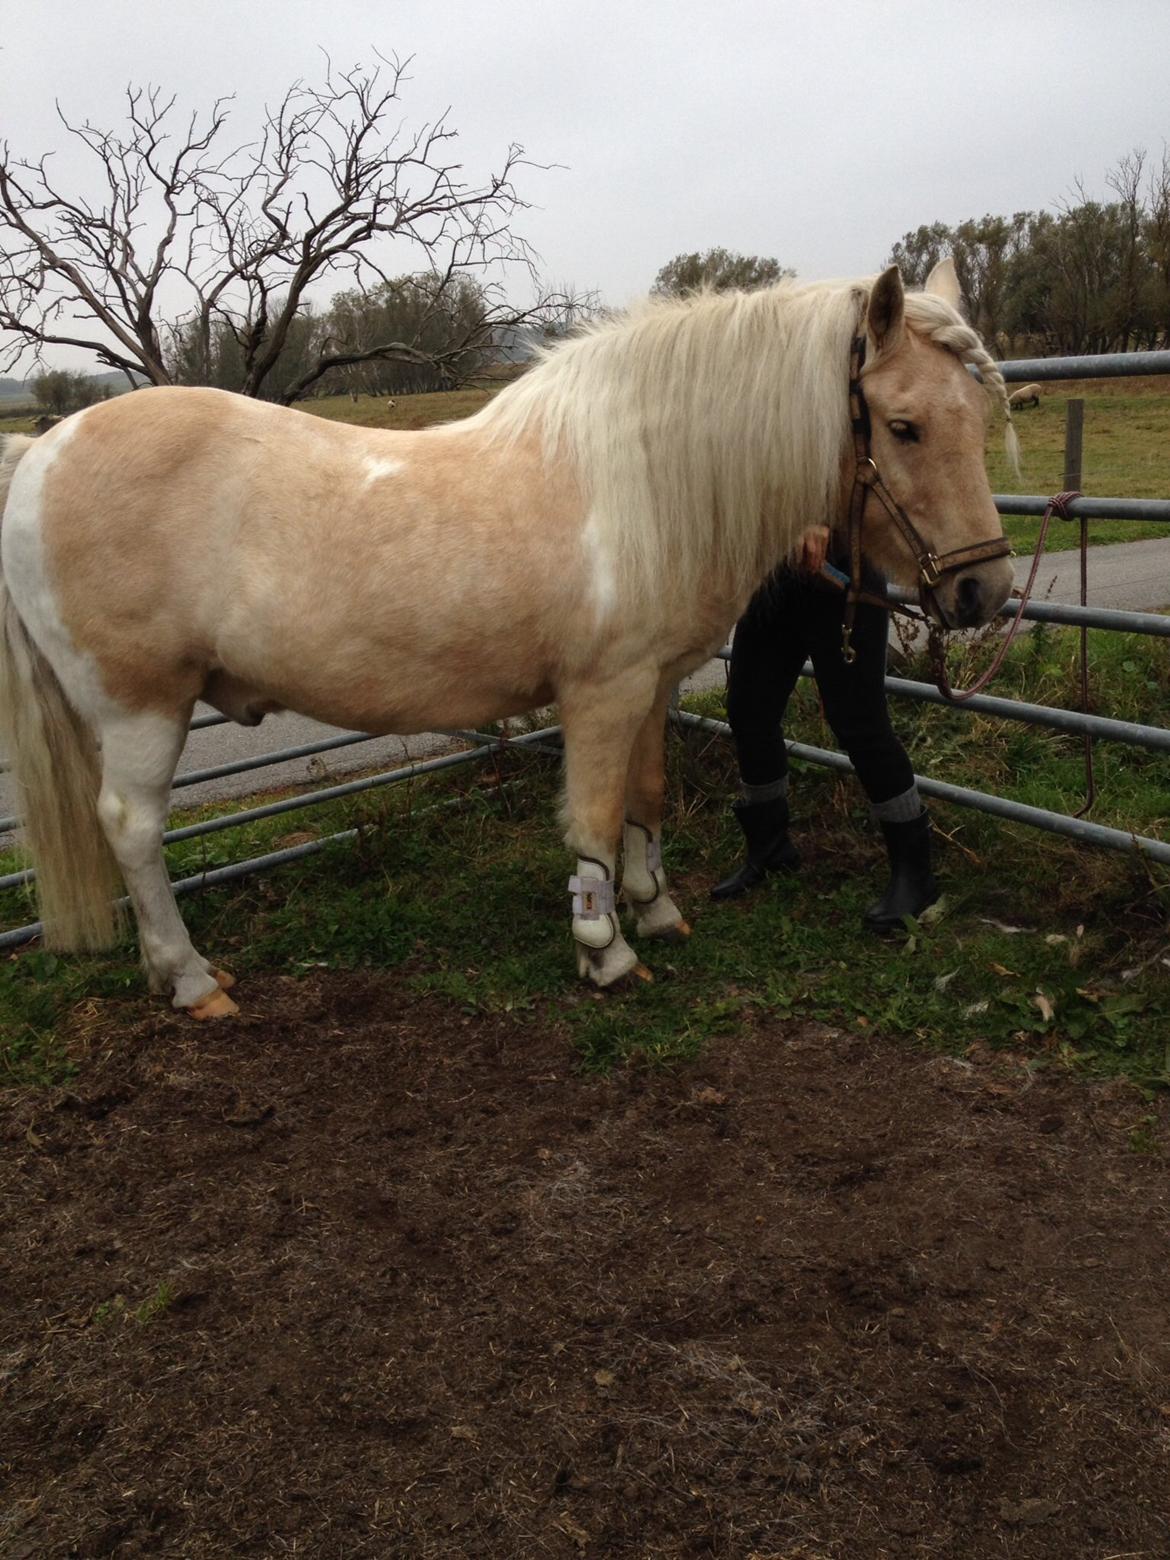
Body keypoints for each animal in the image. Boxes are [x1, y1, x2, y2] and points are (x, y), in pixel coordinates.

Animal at [0, 258, 1017, 1010]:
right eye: (904, 426)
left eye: (980, 416)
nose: (985, 591)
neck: (638, 481)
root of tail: (43, 448)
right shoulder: (602, 690)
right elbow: (596, 816)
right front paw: (604, 949)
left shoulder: (651, 685)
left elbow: (645, 799)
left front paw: (655, 910)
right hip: (141, 707)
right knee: (133, 829)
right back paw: (190, 978)